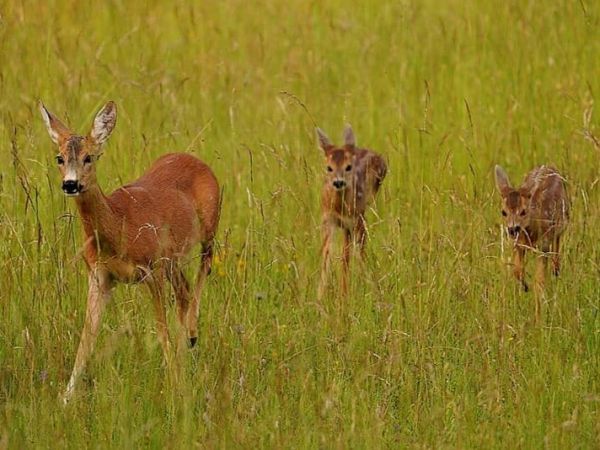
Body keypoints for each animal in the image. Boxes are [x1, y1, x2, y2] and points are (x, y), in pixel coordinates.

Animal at [41, 103, 221, 404]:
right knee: (183, 290)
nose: (70, 184)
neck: (119, 226)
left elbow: (160, 328)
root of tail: (197, 161)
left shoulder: (151, 268)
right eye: (59, 158)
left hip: (208, 227)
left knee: (204, 268)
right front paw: (66, 396)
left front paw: (174, 384)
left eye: (89, 157)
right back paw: (186, 347)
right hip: (172, 259)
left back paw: (192, 334)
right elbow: (87, 337)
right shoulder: (100, 276)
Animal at [316, 125, 386, 298]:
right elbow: (326, 255)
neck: (339, 208)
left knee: (360, 248)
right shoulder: (328, 220)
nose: (338, 182)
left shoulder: (352, 221)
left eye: (348, 167)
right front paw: (320, 295)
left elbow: (347, 258)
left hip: (362, 214)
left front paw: (344, 296)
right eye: (329, 167)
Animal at [494, 163, 568, 294]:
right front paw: (525, 287)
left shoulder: (544, 244)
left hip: (559, 227)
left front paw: (539, 294)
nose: (512, 229)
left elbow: (540, 279)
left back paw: (556, 272)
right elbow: (516, 270)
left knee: (556, 252)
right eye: (503, 212)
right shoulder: (518, 244)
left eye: (523, 211)